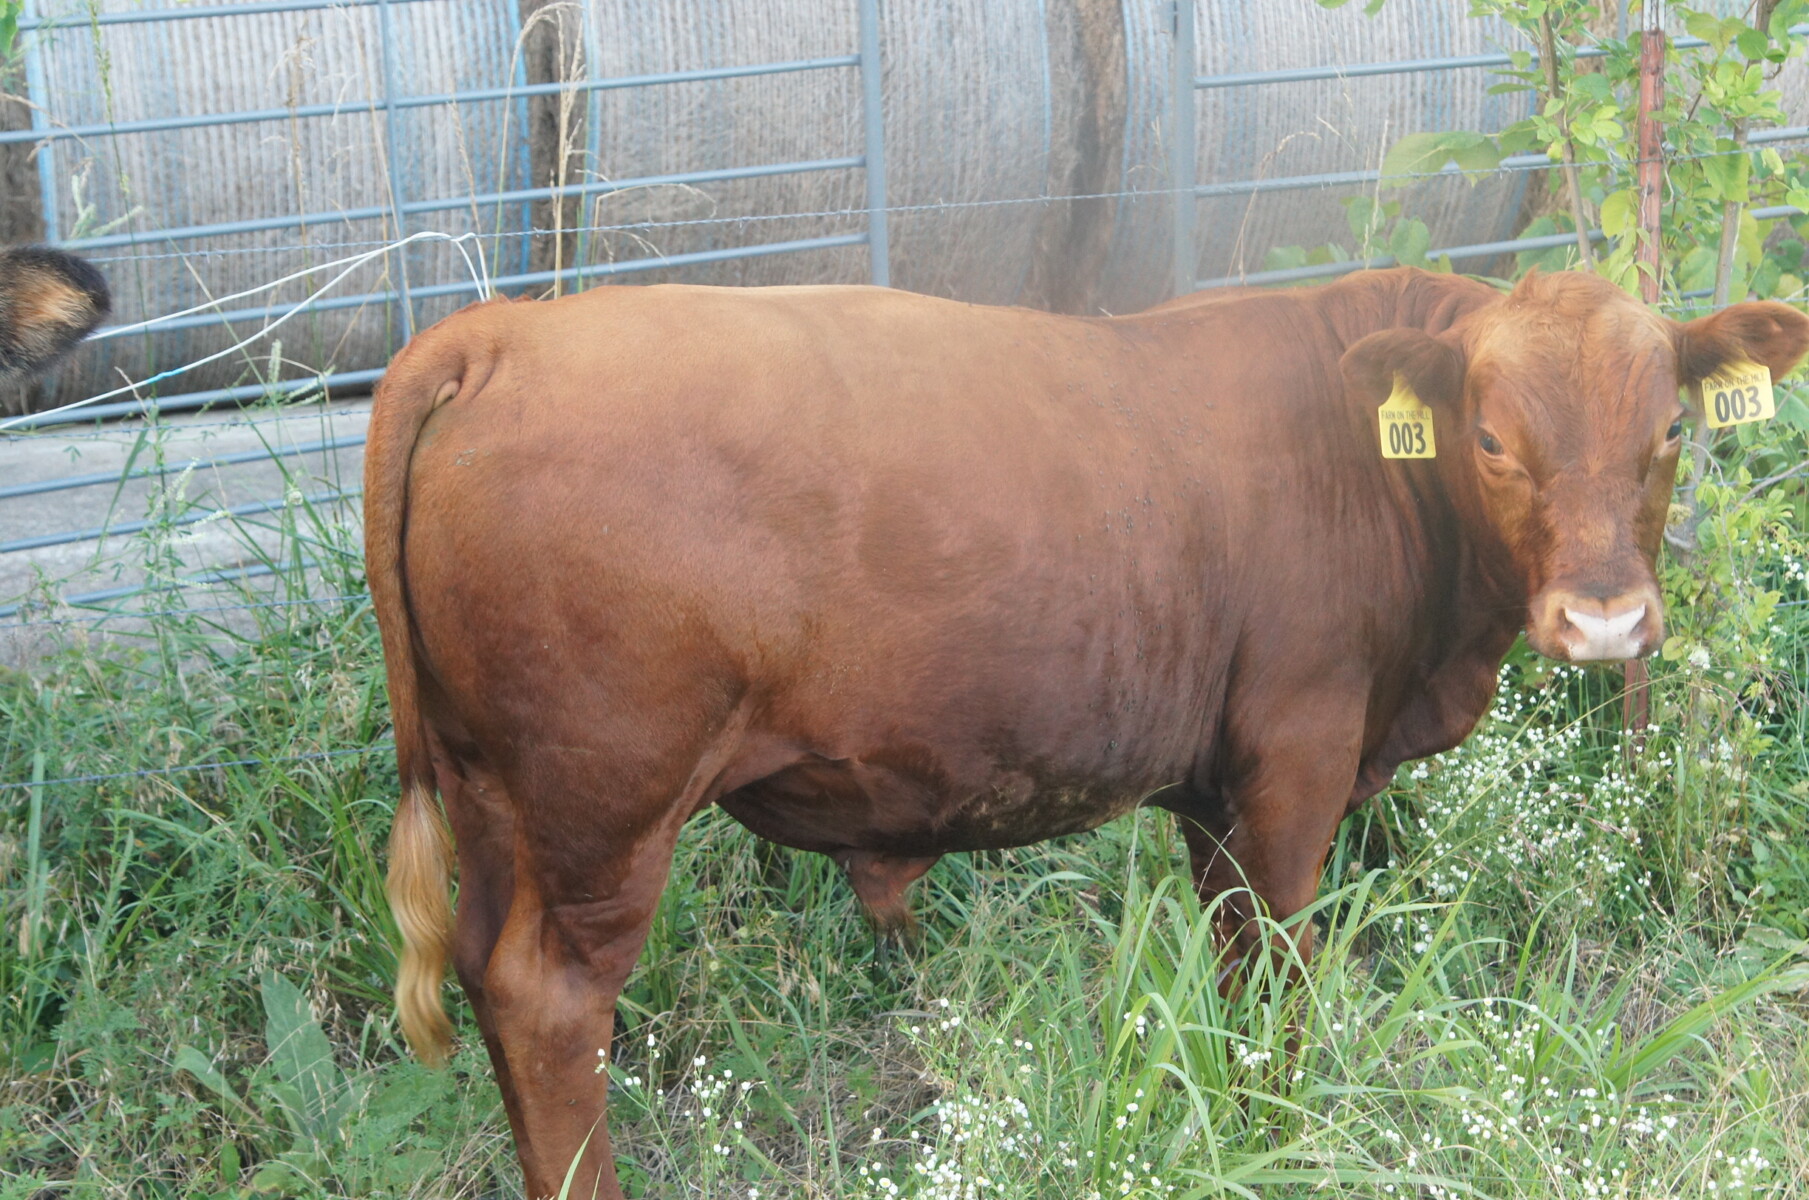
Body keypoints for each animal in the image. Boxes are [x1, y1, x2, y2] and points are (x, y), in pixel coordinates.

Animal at [363, 267, 1809, 1199]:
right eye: (1494, 439)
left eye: (1667, 432)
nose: (1606, 616)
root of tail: (506, 333)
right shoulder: (1298, 758)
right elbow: (1281, 974)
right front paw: (1277, 1134)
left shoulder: (1222, 793)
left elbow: (1234, 971)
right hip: (605, 800)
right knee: (551, 1002)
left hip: (498, 797)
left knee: (490, 980)